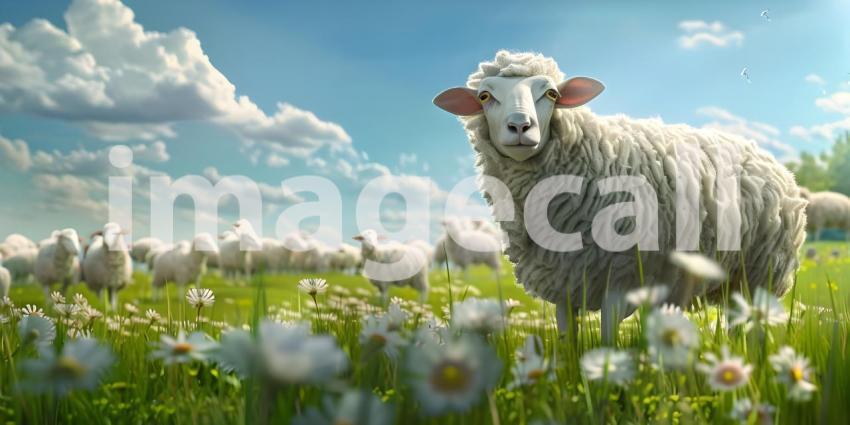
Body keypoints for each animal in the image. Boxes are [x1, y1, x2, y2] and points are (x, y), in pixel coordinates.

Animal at [434, 51, 807, 341]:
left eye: (551, 94)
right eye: (485, 97)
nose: (520, 126)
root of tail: (769, 158)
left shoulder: (620, 276)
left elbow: (607, 342)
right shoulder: (564, 280)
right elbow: (568, 344)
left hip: (761, 273)